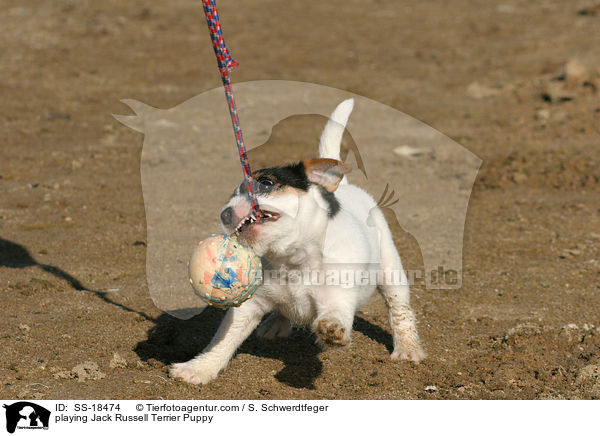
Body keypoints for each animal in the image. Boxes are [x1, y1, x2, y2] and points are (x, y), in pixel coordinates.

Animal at [170, 99, 426, 384]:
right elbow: (222, 341)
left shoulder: (337, 296)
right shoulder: (249, 306)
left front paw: (332, 331)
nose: (224, 214)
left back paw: (408, 348)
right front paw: (198, 369)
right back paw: (275, 324)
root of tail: (345, 187)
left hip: (391, 268)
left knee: (399, 309)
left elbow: (336, 315)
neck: (294, 261)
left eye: (266, 182)